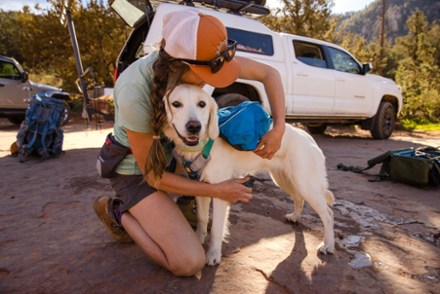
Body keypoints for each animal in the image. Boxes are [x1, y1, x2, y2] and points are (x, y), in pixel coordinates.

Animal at [163, 84, 336, 266]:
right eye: (176, 104)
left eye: (202, 104)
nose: (194, 127)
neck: (203, 146)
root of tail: (307, 136)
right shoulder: (202, 189)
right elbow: (202, 220)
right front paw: (198, 240)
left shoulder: (221, 192)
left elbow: (217, 229)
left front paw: (213, 255)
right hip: (285, 180)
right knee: (299, 199)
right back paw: (294, 217)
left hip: (305, 185)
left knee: (328, 214)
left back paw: (328, 245)